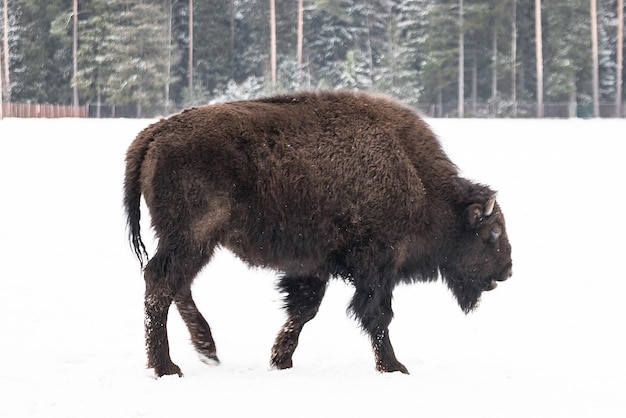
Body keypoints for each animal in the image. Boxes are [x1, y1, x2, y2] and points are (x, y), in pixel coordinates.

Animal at [124, 90, 510, 378]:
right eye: (492, 233)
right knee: (161, 283)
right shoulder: (377, 265)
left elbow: (304, 310)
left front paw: (281, 360)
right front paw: (394, 366)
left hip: (192, 241)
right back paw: (166, 367)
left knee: (178, 285)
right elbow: (377, 314)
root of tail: (154, 131)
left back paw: (207, 350)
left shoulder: (312, 265)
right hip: (194, 235)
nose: (507, 270)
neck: (418, 180)